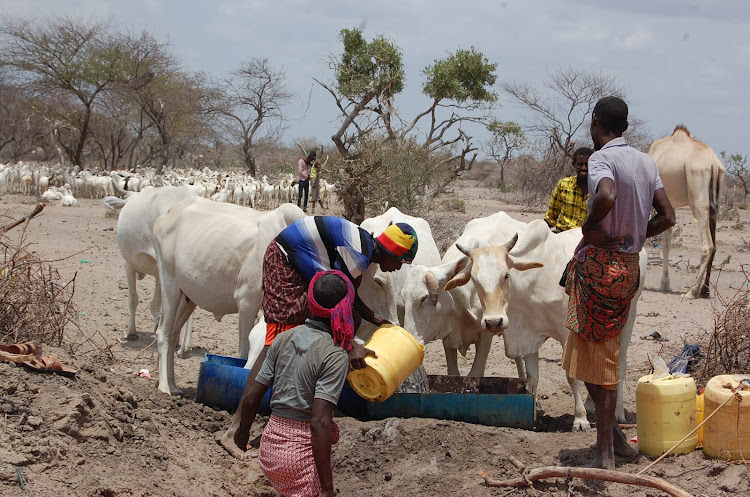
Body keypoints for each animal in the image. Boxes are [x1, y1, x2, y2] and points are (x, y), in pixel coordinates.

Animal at [153, 196, 306, 394]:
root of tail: (168, 215)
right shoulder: (247, 302)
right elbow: (243, 352)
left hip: (188, 298)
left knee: (172, 334)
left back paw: (173, 384)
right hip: (169, 284)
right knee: (163, 333)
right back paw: (165, 386)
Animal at [402, 211, 648, 428]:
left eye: (506, 275)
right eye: (475, 279)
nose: (494, 322)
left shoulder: (567, 333)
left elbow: (572, 375)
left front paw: (579, 420)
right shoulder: (526, 335)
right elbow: (532, 376)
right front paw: (535, 412)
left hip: (628, 318)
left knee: (619, 363)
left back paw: (616, 412)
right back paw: (590, 404)